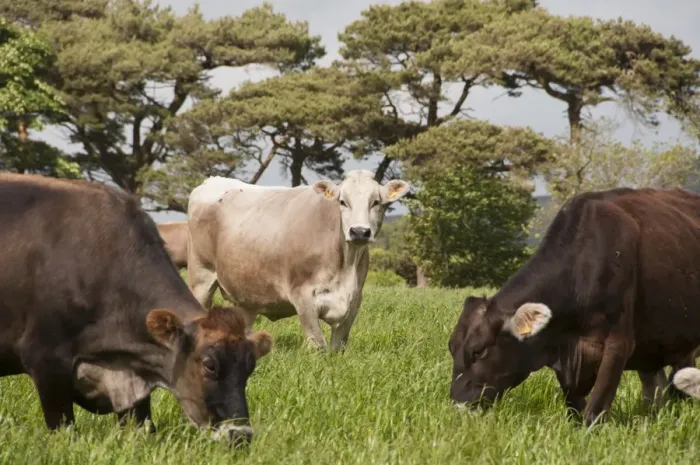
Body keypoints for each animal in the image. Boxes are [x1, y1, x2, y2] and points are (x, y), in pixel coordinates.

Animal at [186, 169, 410, 351]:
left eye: (376, 202)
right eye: (342, 202)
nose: (360, 231)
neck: (346, 265)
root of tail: (211, 181)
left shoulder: (354, 301)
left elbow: (337, 347)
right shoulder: (303, 296)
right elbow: (317, 345)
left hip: (246, 296)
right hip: (201, 277)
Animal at [448, 187, 700, 425]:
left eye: (478, 351)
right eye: (452, 348)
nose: (458, 406)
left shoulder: (618, 345)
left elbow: (594, 411)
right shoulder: (563, 354)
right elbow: (575, 408)